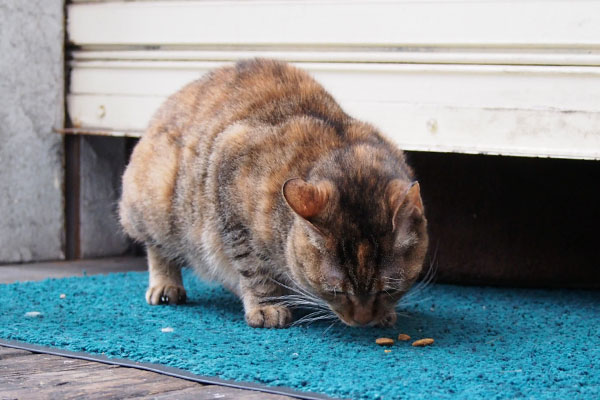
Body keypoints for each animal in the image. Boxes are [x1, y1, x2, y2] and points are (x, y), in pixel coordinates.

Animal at [118, 59, 426, 328]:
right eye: (336, 291)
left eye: (389, 290)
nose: (362, 321)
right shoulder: (230, 192)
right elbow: (253, 267)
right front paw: (266, 306)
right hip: (155, 204)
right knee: (157, 248)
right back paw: (166, 284)